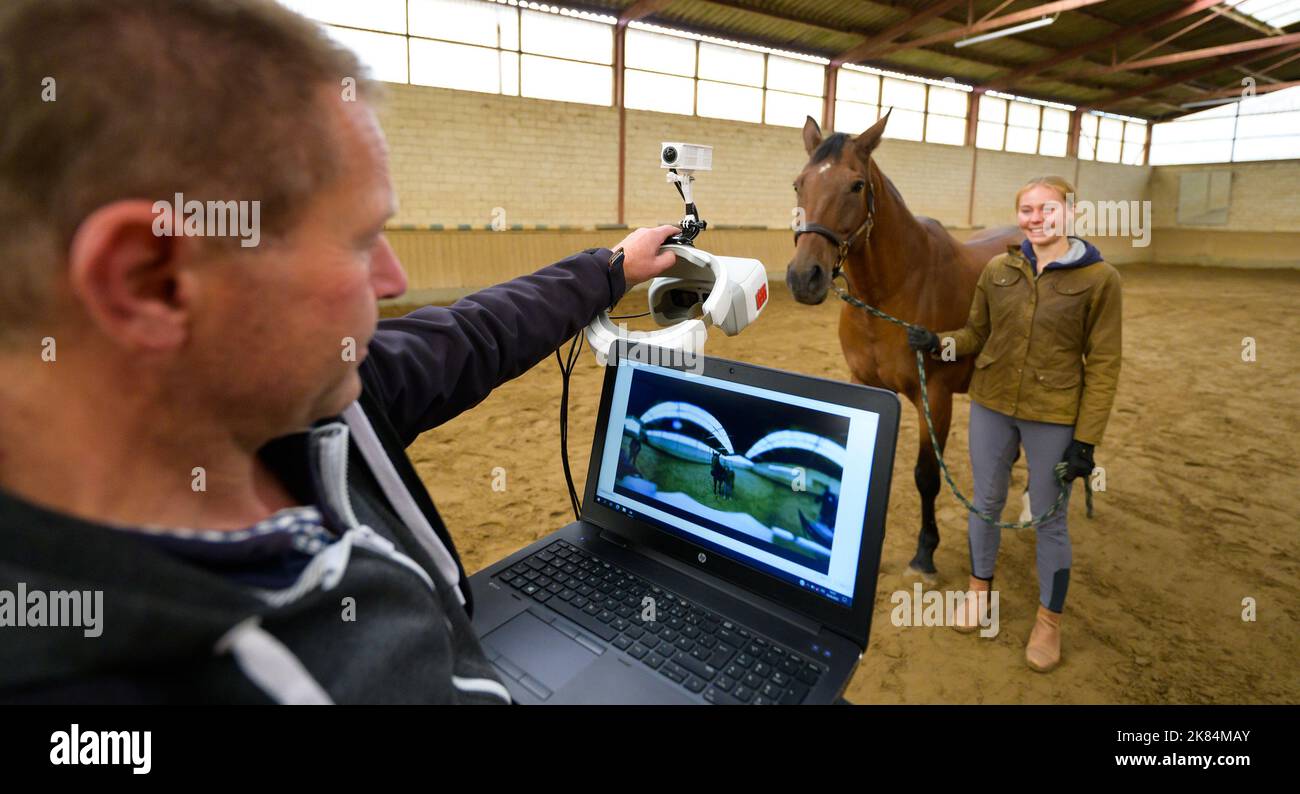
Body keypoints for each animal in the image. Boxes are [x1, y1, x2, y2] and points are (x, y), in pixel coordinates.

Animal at [780, 113, 1024, 576]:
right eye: (798, 183)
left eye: (856, 185)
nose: (805, 278)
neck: (893, 291)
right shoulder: (865, 383)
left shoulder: (937, 396)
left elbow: (926, 476)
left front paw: (925, 550)